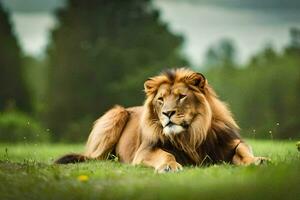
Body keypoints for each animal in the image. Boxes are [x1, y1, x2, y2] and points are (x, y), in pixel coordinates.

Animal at [55, 68, 268, 173]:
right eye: (161, 99)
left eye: (181, 96)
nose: (167, 113)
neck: (191, 135)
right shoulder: (145, 151)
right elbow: (165, 155)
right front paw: (169, 167)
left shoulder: (229, 143)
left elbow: (243, 150)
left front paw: (258, 160)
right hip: (116, 113)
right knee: (95, 157)